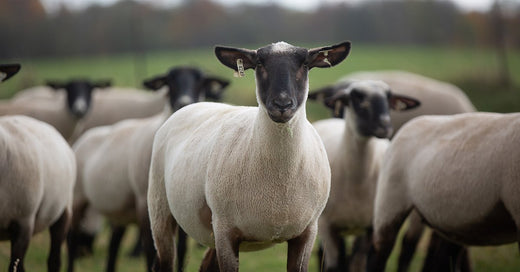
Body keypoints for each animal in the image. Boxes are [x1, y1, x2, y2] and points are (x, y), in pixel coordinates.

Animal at [69, 66, 230, 272]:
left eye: (201, 82)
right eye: (170, 82)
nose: (184, 102)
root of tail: (85, 136)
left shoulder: (182, 206)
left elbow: (182, 248)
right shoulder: (144, 203)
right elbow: (150, 250)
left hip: (121, 210)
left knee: (114, 244)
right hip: (78, 198)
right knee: (72, 238)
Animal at [145, 41, 350, 272]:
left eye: (305, 64)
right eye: (259, 64)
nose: (282, 105)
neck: (280, 182)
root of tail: (192, 105)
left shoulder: (306, 233)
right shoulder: (226, 232)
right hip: (160, 209)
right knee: (163, 260)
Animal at [306, 79, 420, 270]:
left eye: (389, 98)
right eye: (356, 97)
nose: (385, 125)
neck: (357, 181)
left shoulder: (370, 227)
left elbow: (357, 264)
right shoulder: (328, 226)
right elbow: (334, 266)